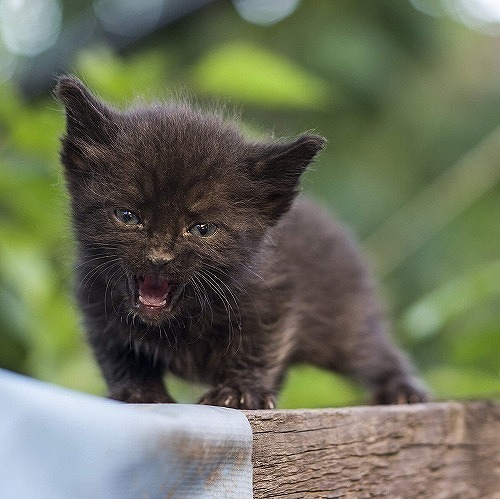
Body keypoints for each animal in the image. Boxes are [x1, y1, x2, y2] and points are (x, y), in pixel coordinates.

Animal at [56, 75, 428, 410]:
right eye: (127, 215)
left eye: (203, 228)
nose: (158, 258)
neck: (183, 318)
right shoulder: (96, 300)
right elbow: (118, 352)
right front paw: (137, 392)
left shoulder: (275, 295)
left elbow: (259, 344)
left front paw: (239, 391)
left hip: (343, 319)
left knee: (372, 350)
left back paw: (403, 390)